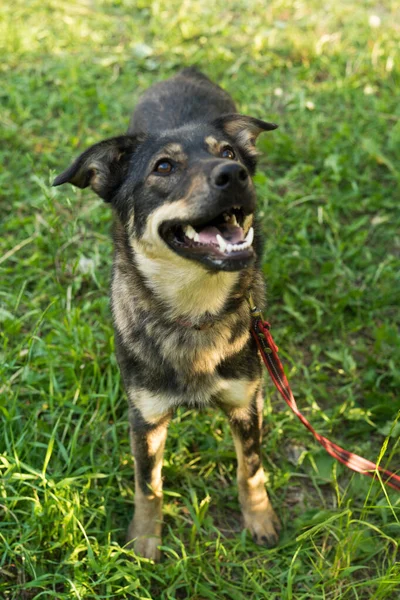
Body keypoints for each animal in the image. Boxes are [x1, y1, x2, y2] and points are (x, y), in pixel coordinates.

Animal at [53, 68, 282, 560]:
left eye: (229, 153)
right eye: (163, 167)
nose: (234, 174)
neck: (193, 312)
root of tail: (186, 71)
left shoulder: (247, 403)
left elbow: (250, 470)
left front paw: (260, 519)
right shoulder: (146, 417)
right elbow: (149, 486)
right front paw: (144, 540)